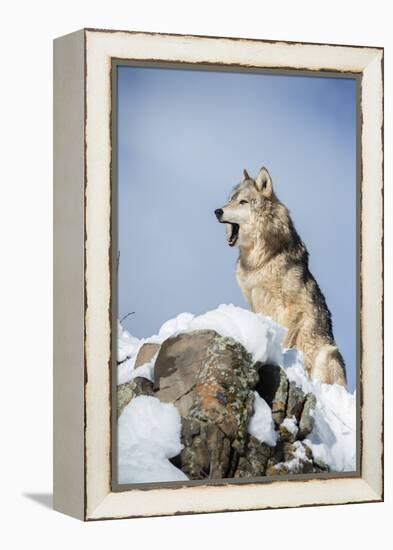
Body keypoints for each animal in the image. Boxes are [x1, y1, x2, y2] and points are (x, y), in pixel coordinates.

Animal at [214, 168, 346, 388]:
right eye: (230, 199)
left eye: (243, 202)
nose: (217, 211)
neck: (259, 262)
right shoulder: (254, 302)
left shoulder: (294, 307)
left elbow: (284, 337)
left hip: (328, 354)